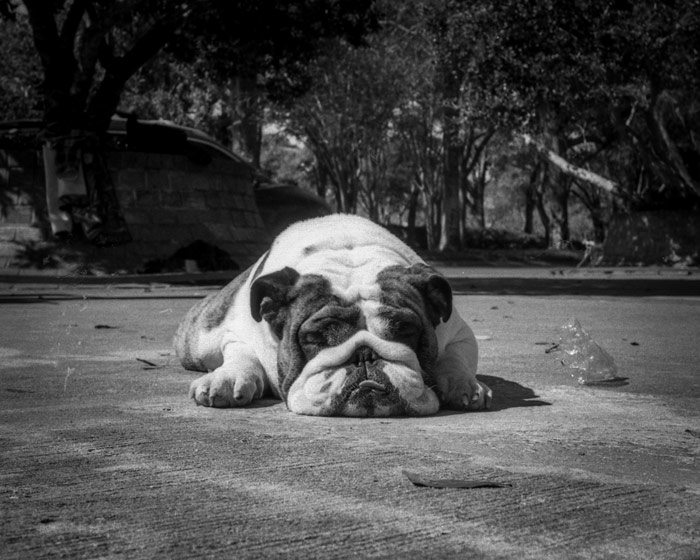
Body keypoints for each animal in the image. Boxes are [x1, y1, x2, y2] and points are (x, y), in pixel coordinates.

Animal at [175, 214, 492, 416]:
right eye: (316, 337)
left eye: (405, 330)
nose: (365, 356)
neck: (346, 251)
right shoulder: (238, 334)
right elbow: (241, 355)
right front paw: (227, 379)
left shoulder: (459, 333)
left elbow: (456, 358)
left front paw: (464, 384)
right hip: (200, 343)